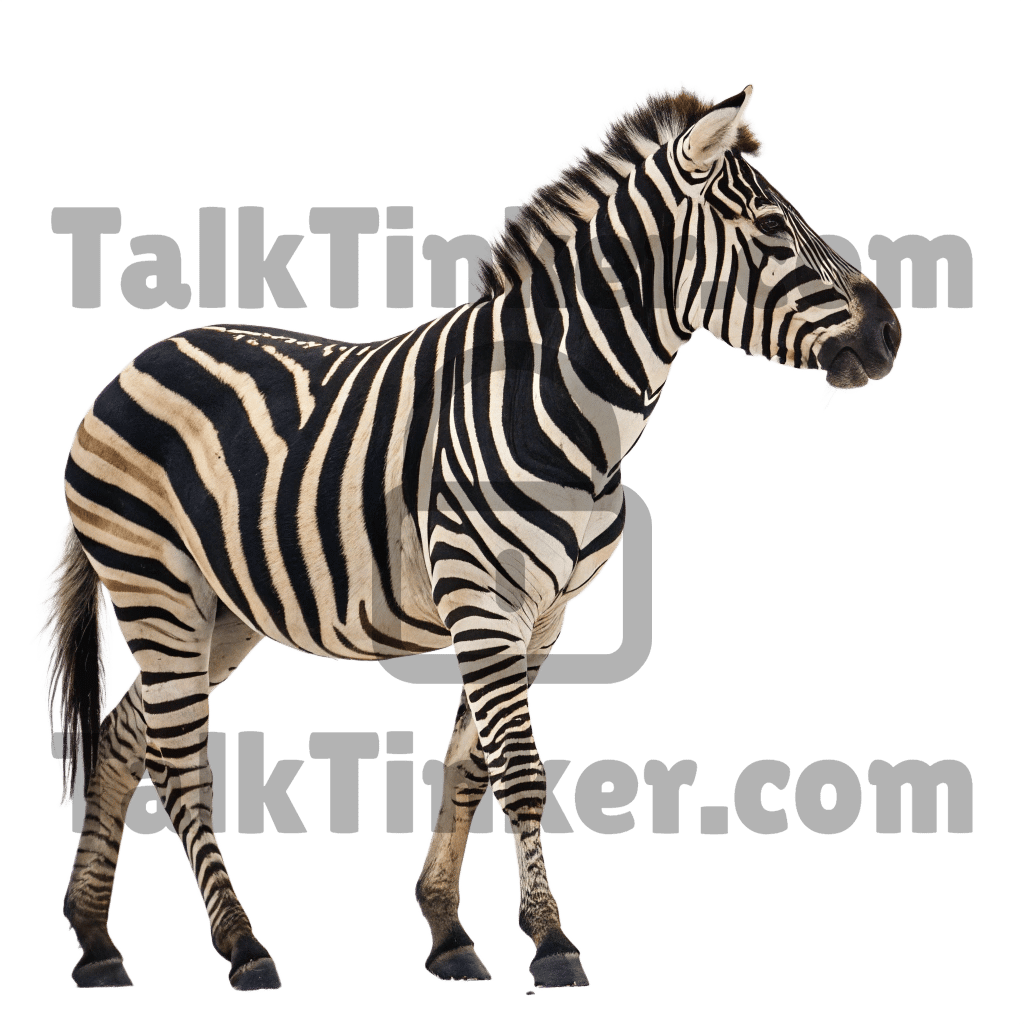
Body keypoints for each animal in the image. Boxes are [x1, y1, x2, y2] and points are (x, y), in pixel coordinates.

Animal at [36, 80, 901, 993]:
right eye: (772, 226)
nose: (890, 334)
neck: (558, 396)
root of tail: (133, 361)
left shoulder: (543, 616)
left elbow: (470, 766)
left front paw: (450, 932)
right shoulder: (482, 597)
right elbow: (517, 772)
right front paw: (552, 944)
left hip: (223, 609)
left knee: (123, 736)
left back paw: (96, 943)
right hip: (154, 585)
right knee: (181, 762)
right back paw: (243, 948)